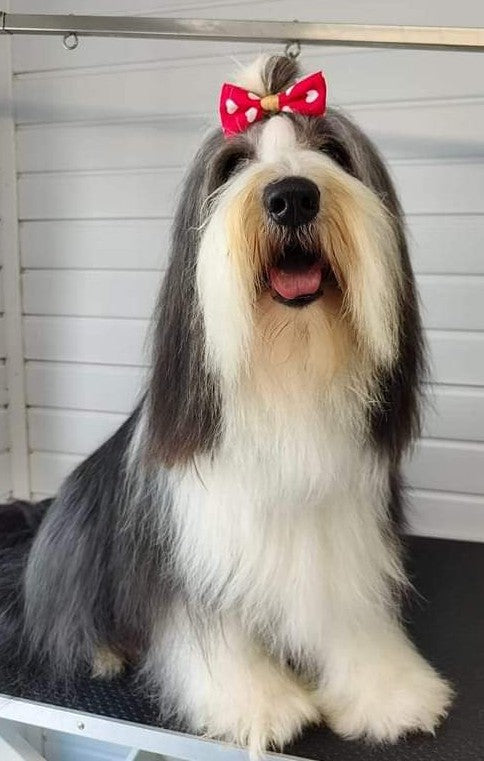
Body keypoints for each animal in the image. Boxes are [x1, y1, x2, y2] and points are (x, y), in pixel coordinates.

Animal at [1, 53, 452, 756]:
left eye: (332, 151)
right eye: (235, 164)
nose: (292, 195)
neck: (289, 373)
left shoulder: (343, 537)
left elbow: (351, 616)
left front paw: (389, 693)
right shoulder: (198, 542)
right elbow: (210, 629)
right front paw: (257, 704)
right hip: (73, 545)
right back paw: (103, 651)